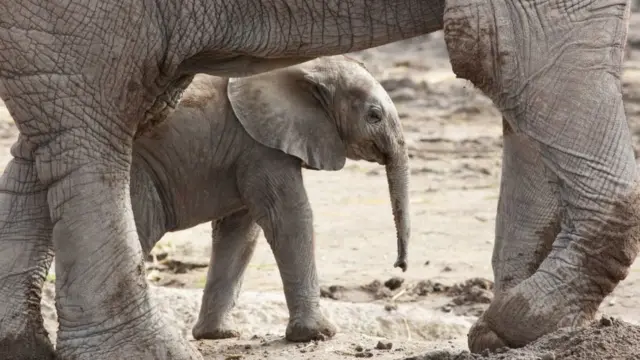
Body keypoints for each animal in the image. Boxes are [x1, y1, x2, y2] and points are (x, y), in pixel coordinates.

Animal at [129, 56, 410, 344]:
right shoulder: (261, 147)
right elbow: (291, 216)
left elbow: (240, 232)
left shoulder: (248, 150)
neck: (306, 67)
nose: (400, 265)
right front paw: (317, 334)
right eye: (374, 116)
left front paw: (218, 335)